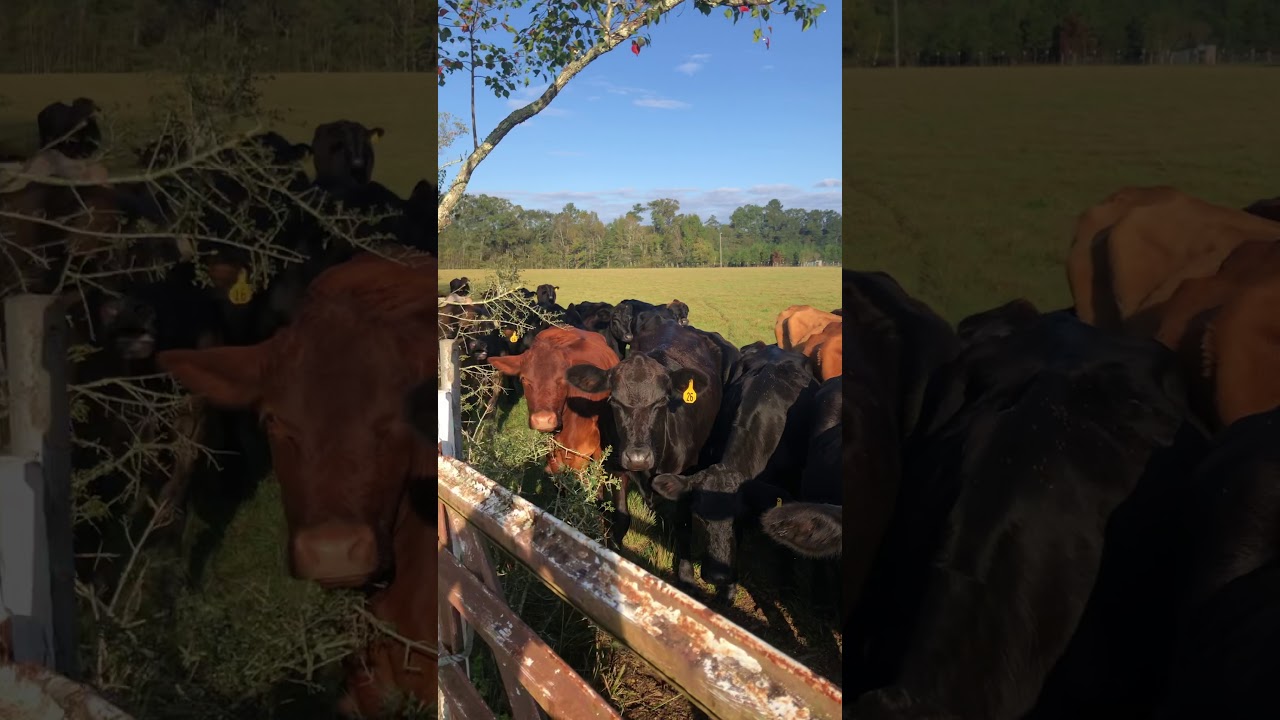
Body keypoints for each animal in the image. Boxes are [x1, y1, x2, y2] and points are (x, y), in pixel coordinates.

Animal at [566, 319, 730, 583]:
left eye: (661, 402)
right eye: (614, 401)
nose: (637, 458)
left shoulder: (684, 480)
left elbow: (683, 528)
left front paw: (686, 576)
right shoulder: (615, 468)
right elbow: (621, 518)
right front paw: (613, 552)